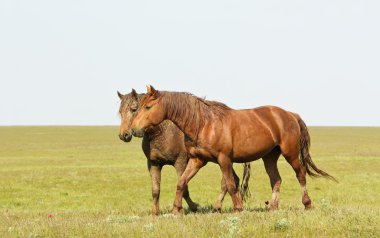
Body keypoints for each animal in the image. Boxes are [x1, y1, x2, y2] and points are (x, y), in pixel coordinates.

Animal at [117, 89, 251, 216]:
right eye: (120, 112)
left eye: (134, 109)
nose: (124, 135)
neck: (163, 133)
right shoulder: (153, 164)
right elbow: (155, 190)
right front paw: (154, 213)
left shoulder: (180, 163)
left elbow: (184, 187)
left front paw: (191, 207)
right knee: (235, 180)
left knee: (226, 183)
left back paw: (218, 207)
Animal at [131, 86, 336, 215]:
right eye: (138, 107)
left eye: (148, 107)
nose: (133, 129)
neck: (203, 124)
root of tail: (290, 114)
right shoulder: (197, 160)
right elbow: (182, 182)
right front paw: (176, 210)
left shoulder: (224, 160)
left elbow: (230, 184)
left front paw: (238, 208)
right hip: (270, 157)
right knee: (276, 179)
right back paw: (273, 207)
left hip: (290, 154)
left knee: (300, 175)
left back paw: (307, 204)